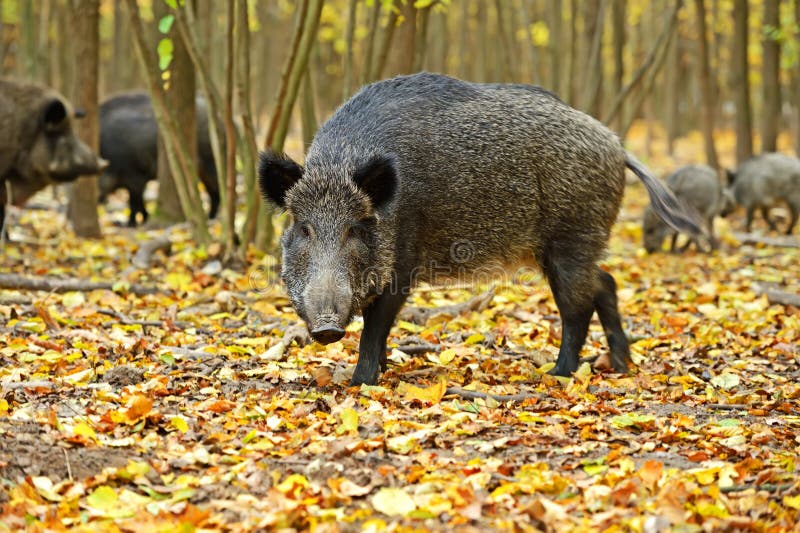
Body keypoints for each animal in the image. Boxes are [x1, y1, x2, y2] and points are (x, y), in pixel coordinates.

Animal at [97, 91, 219, 227]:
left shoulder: (135, 176)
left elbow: (134, 202)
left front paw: (130, 224)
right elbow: (139, 202)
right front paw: (142, 220)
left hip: (210, 161)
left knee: (217, 189)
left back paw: (212, 218)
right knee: (213, 192)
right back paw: (210, 218)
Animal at [258, 73, 702, 385]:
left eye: (355, 227)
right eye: (303, 227)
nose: (326, 328)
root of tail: (618, 145)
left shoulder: (402, 261)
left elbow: (377, 324)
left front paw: (360, 382)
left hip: (572, 235)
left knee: (578, 306)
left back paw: (556, 374)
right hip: (574, 243)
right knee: (605, 284)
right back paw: (621, 365)